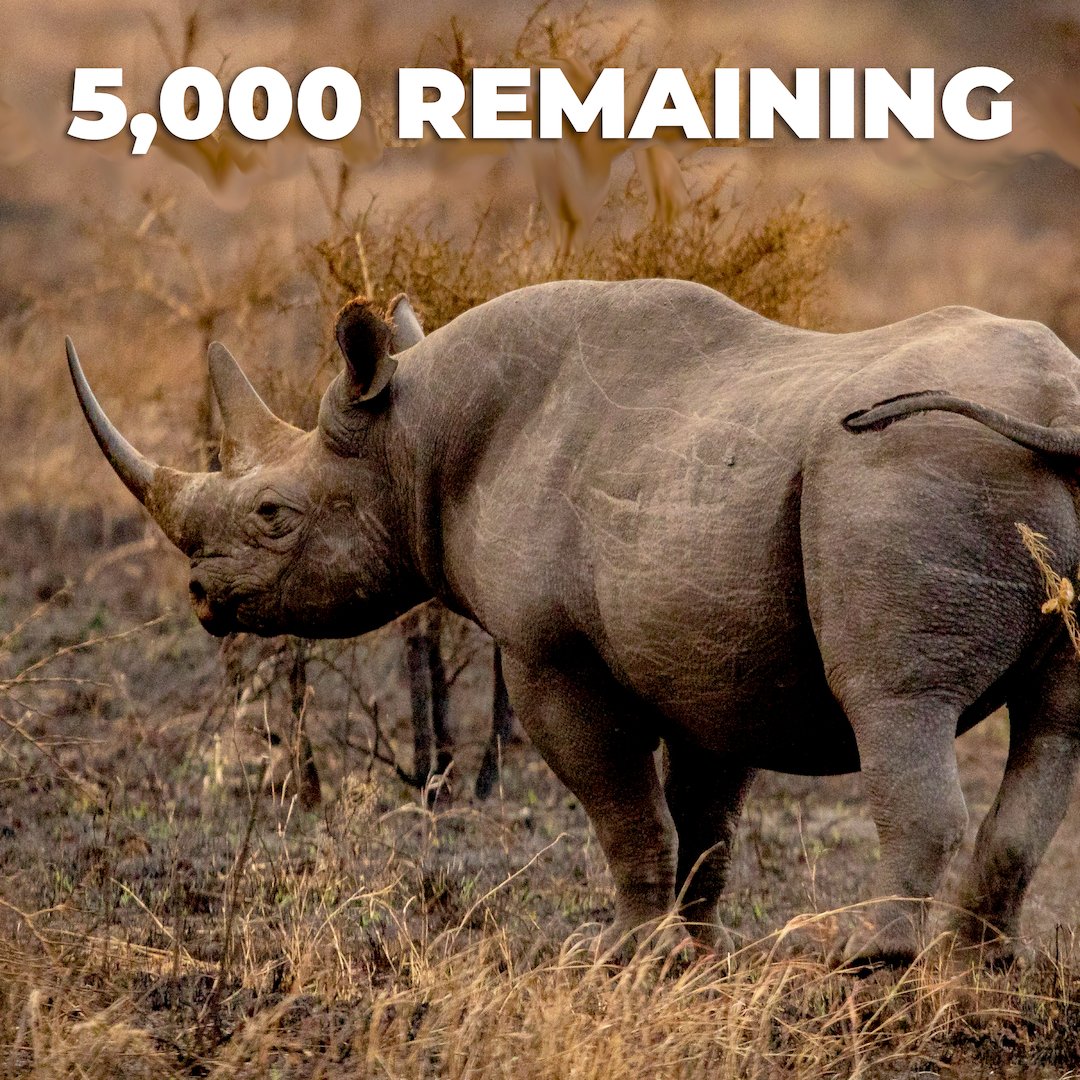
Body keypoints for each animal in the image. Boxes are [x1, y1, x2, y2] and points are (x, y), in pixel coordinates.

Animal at [68, 278, 1080, 965]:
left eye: (272, 515)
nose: (202, 597)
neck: (413, 437)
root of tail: (1058, 410)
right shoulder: (714, 647)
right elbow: (705, 817)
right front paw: (697, 957)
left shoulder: (548, 652)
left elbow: (623, 808)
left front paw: (625, 956)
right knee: (1055, 726)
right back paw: (976, 968)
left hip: (903, 473)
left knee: (895, 702)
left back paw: (870, 962)